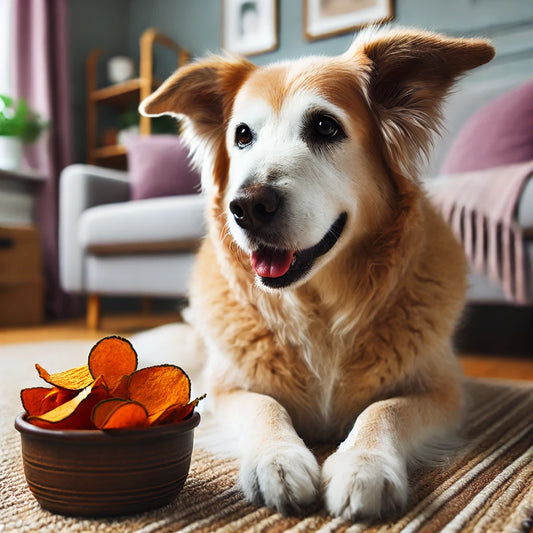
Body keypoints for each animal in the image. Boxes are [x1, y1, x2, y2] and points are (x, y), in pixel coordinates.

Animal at [138, 28, 494, 520]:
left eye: (326, 127)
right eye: (242, 135)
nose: (246, 206)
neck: (321, 305)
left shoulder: (443, 394)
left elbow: (385, 409)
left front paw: (364, 464)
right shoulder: (225, 390)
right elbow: (263, 406)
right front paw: (277, 460)